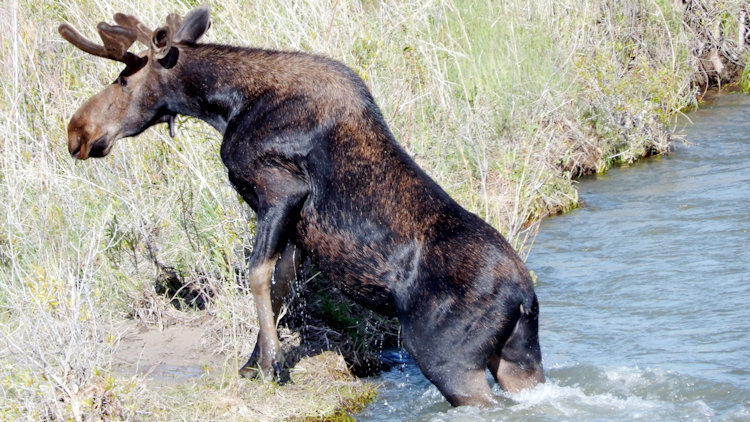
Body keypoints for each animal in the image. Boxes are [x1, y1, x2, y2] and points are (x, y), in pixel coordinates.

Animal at [57, 4, 540, 406]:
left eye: (124, 79)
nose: (77, 131)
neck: (225, 105)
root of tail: (524, 298)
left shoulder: (280, 189)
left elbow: (257, 275)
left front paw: (271, 365)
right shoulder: (291, 221)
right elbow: (279, 285)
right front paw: (254, 362)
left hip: (449, 361)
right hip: (519, 359)